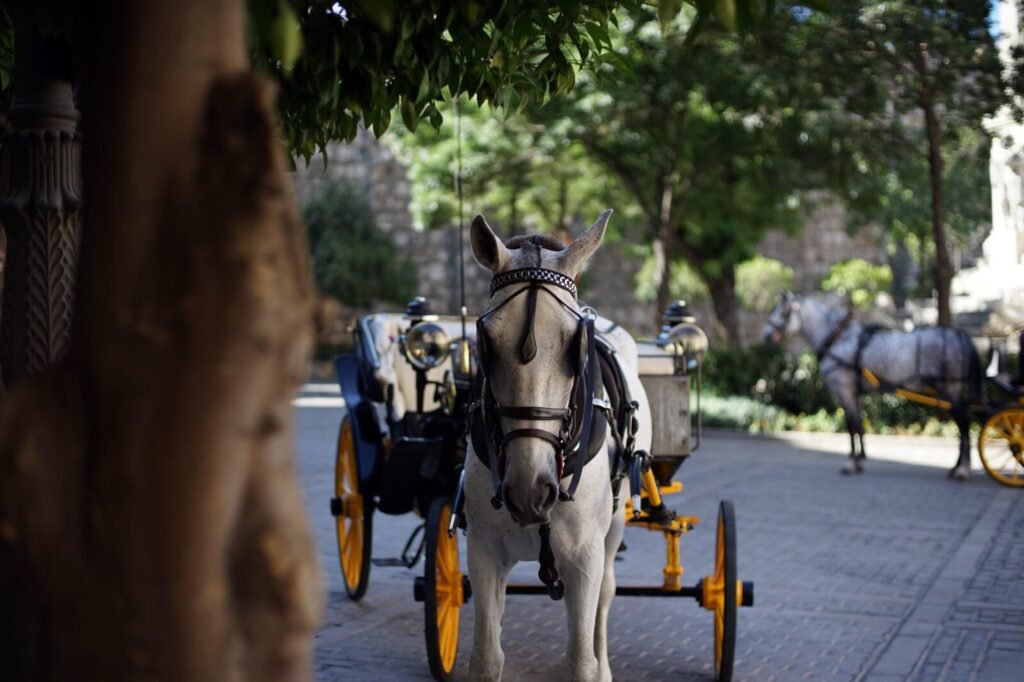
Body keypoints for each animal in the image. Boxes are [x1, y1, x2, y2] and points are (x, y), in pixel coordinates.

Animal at [464, 210, 653, 682]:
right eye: (486, 341)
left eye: (575, 344)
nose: (529, 490)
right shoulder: (482, 552)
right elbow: (486, 658)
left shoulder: (584, 557)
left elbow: (581, 663)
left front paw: (593, 664)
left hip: (614, 525)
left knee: (606, 593)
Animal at [762, 292, 981, 478]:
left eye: (784, 312)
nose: (766, 334)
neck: (838, 338)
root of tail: (960, 336)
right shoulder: (855, 393)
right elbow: (859, 424)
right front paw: (859, 460)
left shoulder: (844, 390)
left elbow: (851, 424)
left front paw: (851, 462)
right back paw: (956, 466)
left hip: (951, 390)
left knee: (964, 424)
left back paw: (962, 469)